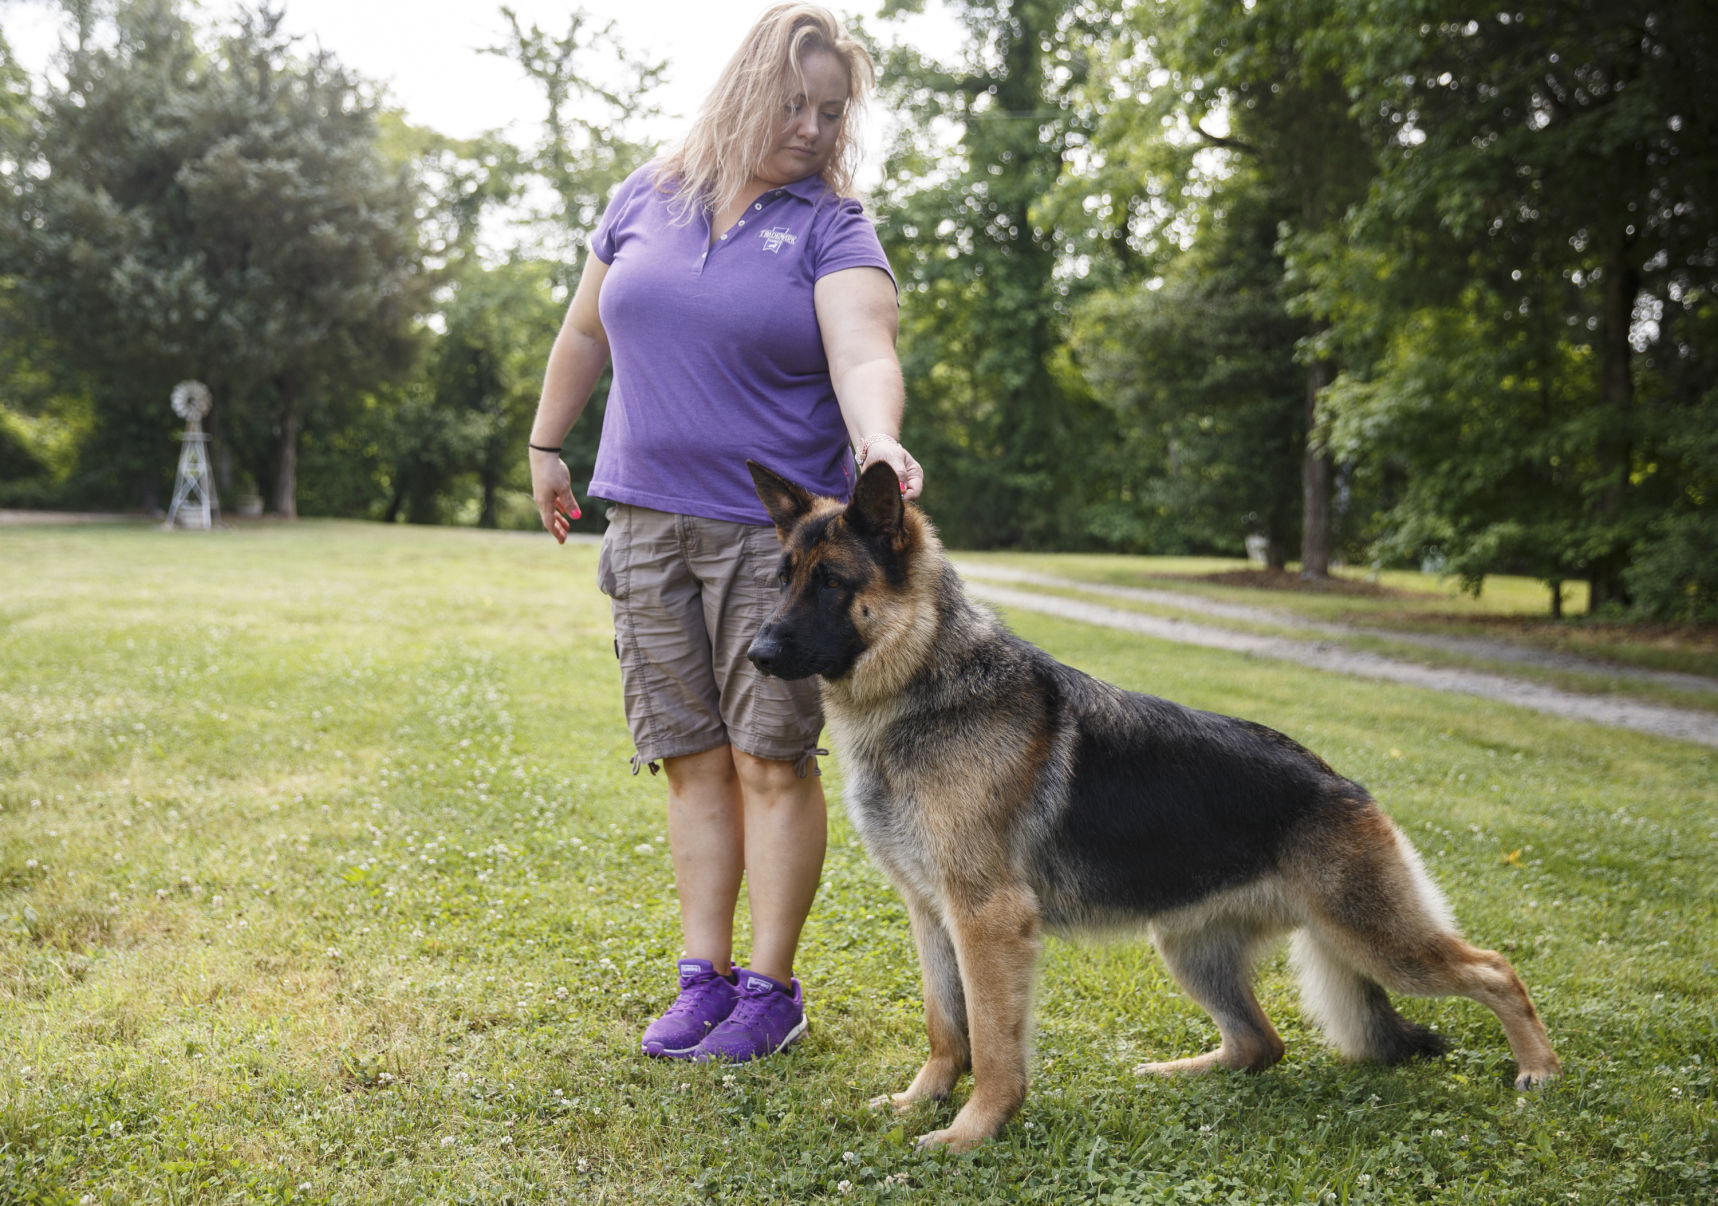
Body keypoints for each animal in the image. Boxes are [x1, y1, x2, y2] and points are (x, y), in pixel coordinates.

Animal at [745, 460, 1566, 1154]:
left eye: (832, 582)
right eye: (782, 580)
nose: (755, 654)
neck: (925, 683)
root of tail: (1343, 785)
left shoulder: (988, 919)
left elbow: (994, 1044)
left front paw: (973, 1132)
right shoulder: (930, 913)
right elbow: (947, 1026)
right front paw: (922, 1101)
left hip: (1376, 937)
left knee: (1497, 971)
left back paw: (1540, 1069)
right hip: (1190, 947)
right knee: (1261, 1044)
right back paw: (1178, 1073)